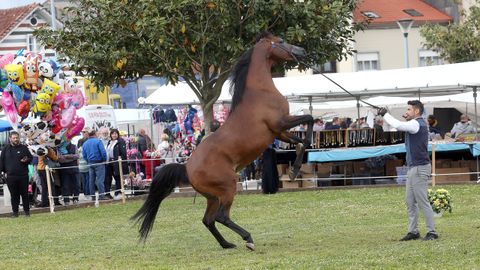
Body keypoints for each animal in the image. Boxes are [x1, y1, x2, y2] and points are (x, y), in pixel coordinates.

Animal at [132, 32, 316, 251]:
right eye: (280, 42)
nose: (302, 51)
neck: (261, 92)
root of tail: (187, 168)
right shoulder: (280, 123)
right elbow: (309, 121)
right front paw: (297, 167)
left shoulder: (277, 132)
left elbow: (299, 142)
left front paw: (294, 171)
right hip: (228, 187)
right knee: (221, 216)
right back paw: (248, 239)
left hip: (212, 196)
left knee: (208, 220)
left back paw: (227, 244)